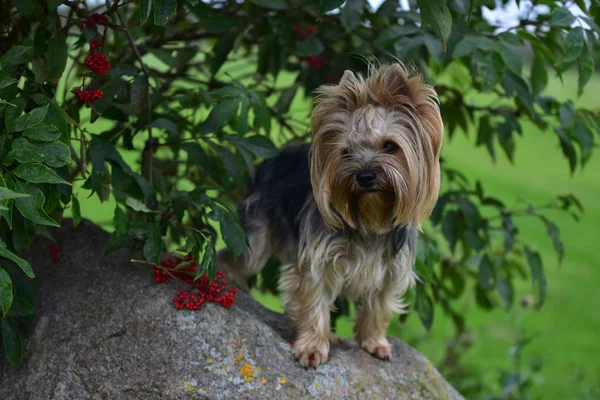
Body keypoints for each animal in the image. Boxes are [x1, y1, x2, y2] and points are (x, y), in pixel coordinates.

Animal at [218, 63, 442, 368]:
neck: (369, 218)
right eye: (346, 152)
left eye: (390, 146)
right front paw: (312, 347)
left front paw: (373, 342)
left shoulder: (391, 269)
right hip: (257, 233)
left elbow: (379, 306)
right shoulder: (319, 259)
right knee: (235, 256)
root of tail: (268, 160)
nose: (365, 176)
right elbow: (314, 301)